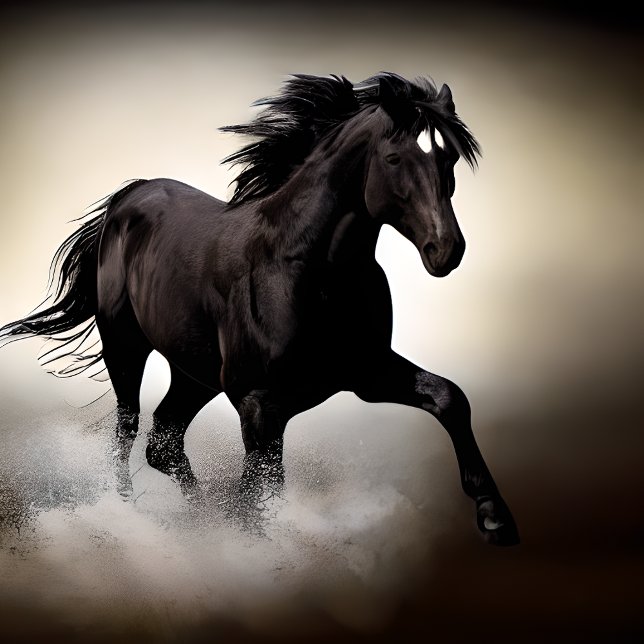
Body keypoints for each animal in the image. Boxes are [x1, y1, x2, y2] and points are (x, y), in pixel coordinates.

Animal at [0, 72, 519, 545]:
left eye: (449, 157)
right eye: (394, 158)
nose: (446, 250)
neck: (311, 270)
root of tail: (130, 194)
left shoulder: (366, 372)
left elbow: (450, 397)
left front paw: (495, 517)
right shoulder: (260, 405)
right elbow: (258, 494)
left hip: (195, 372)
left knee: (164, 441)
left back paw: (199, 521)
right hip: (125, 346)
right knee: (127, 429)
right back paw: (128, 515)